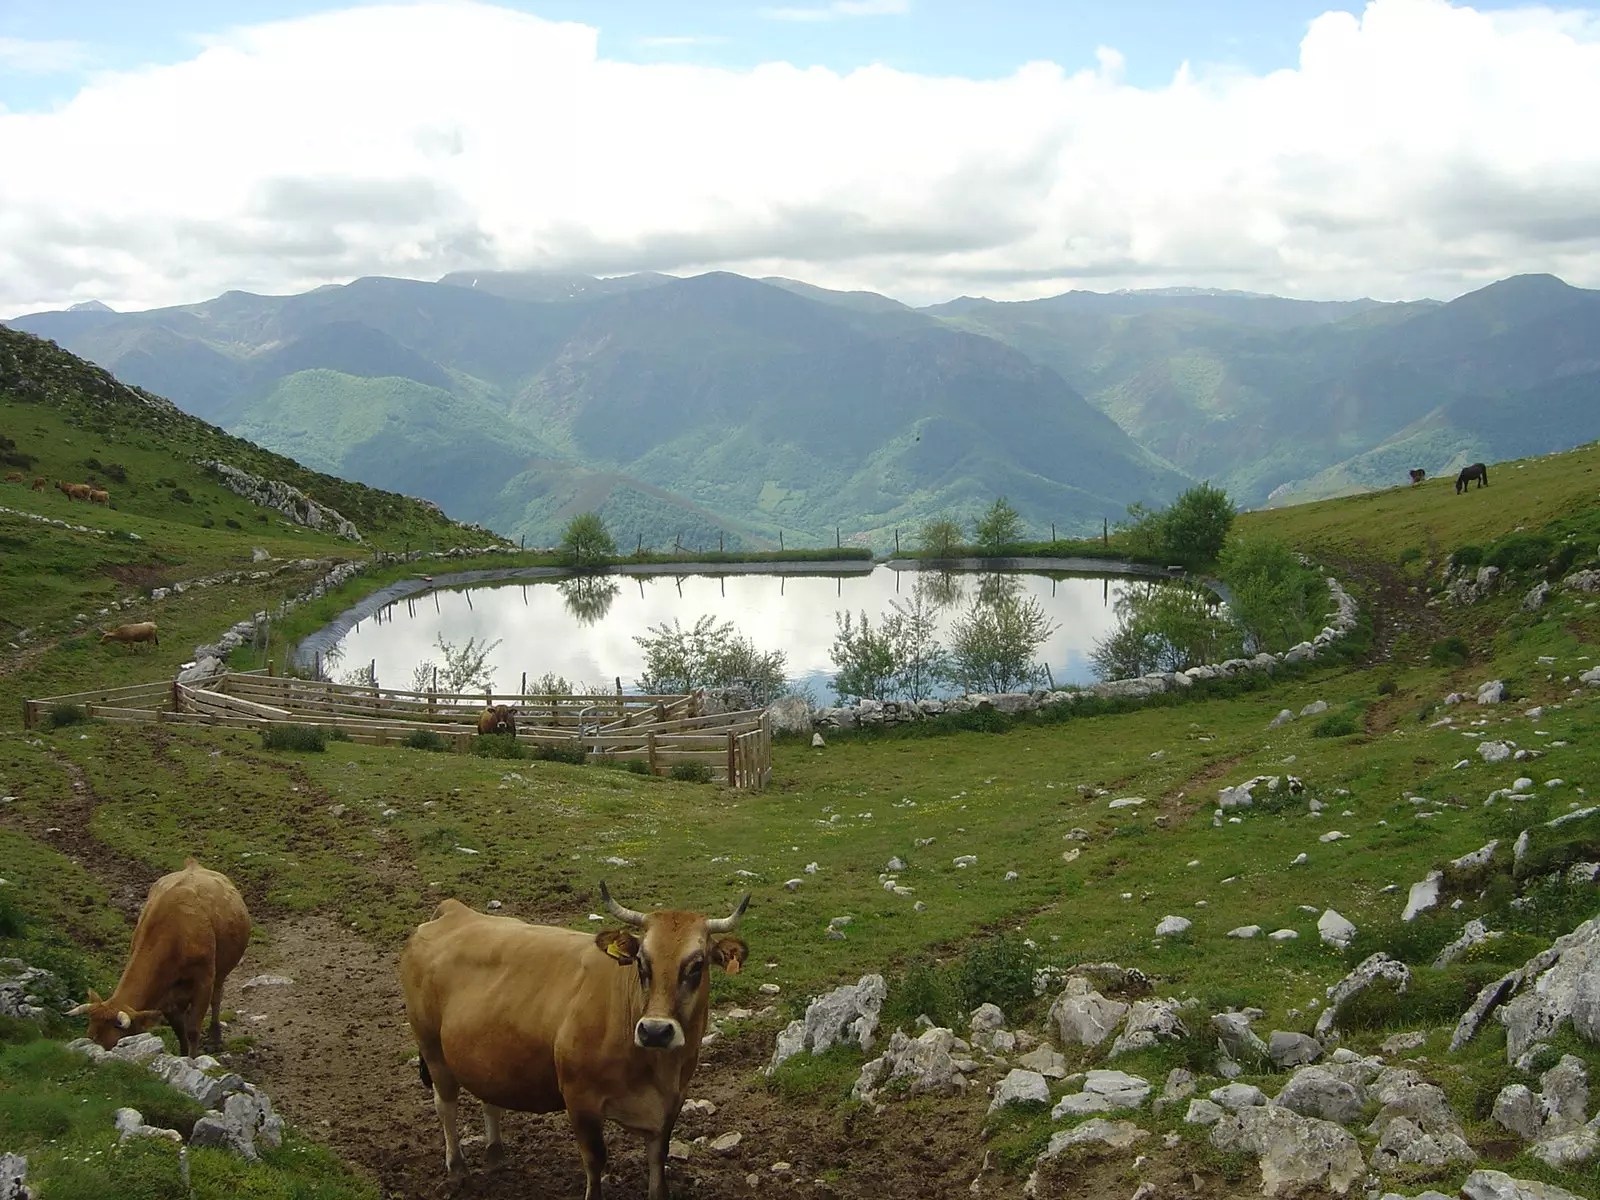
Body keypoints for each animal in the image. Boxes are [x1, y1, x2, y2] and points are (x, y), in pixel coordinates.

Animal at [68, 857, 249, 1056]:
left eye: (113, 1043)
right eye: (89, 1035)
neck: (175, 933)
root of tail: (193, 864)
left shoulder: (204, 981)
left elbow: (193, 1029)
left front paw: (192, 1059)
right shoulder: (165, 997)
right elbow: (179, 1029)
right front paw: (183, 1055)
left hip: (221, 970)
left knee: (217, 997)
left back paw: (215, 1038)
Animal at [400, 876, 748, 1196]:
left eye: (697, 965)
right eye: (640, 962)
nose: (655, 1031)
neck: (657, 1068)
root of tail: (454, 911)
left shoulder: (673, 1101)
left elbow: (657, 1162)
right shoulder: (580, 1100)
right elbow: (595, 1160)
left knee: (489, 1097)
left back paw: (496, 1154)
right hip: (432, 1048)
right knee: (445, 1104)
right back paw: (457, 1168)